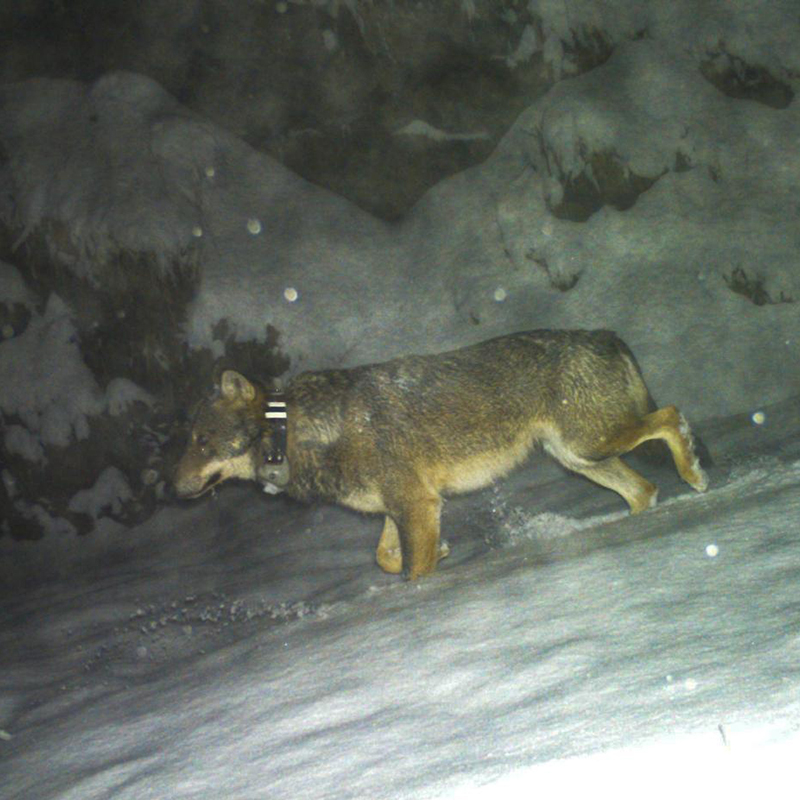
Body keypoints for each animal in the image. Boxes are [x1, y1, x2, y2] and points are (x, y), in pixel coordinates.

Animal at [173, 329, 708, 580]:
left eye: (201, 441)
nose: (172, 488)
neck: (301, 432)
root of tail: (603, 333)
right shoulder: (402, 507)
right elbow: (384, 558)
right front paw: (445, 553)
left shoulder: (416, 505)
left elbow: (415, 571)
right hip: (581, 458)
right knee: (643, 490)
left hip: (589, 444)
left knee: (671, 417)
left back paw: (695, 476)